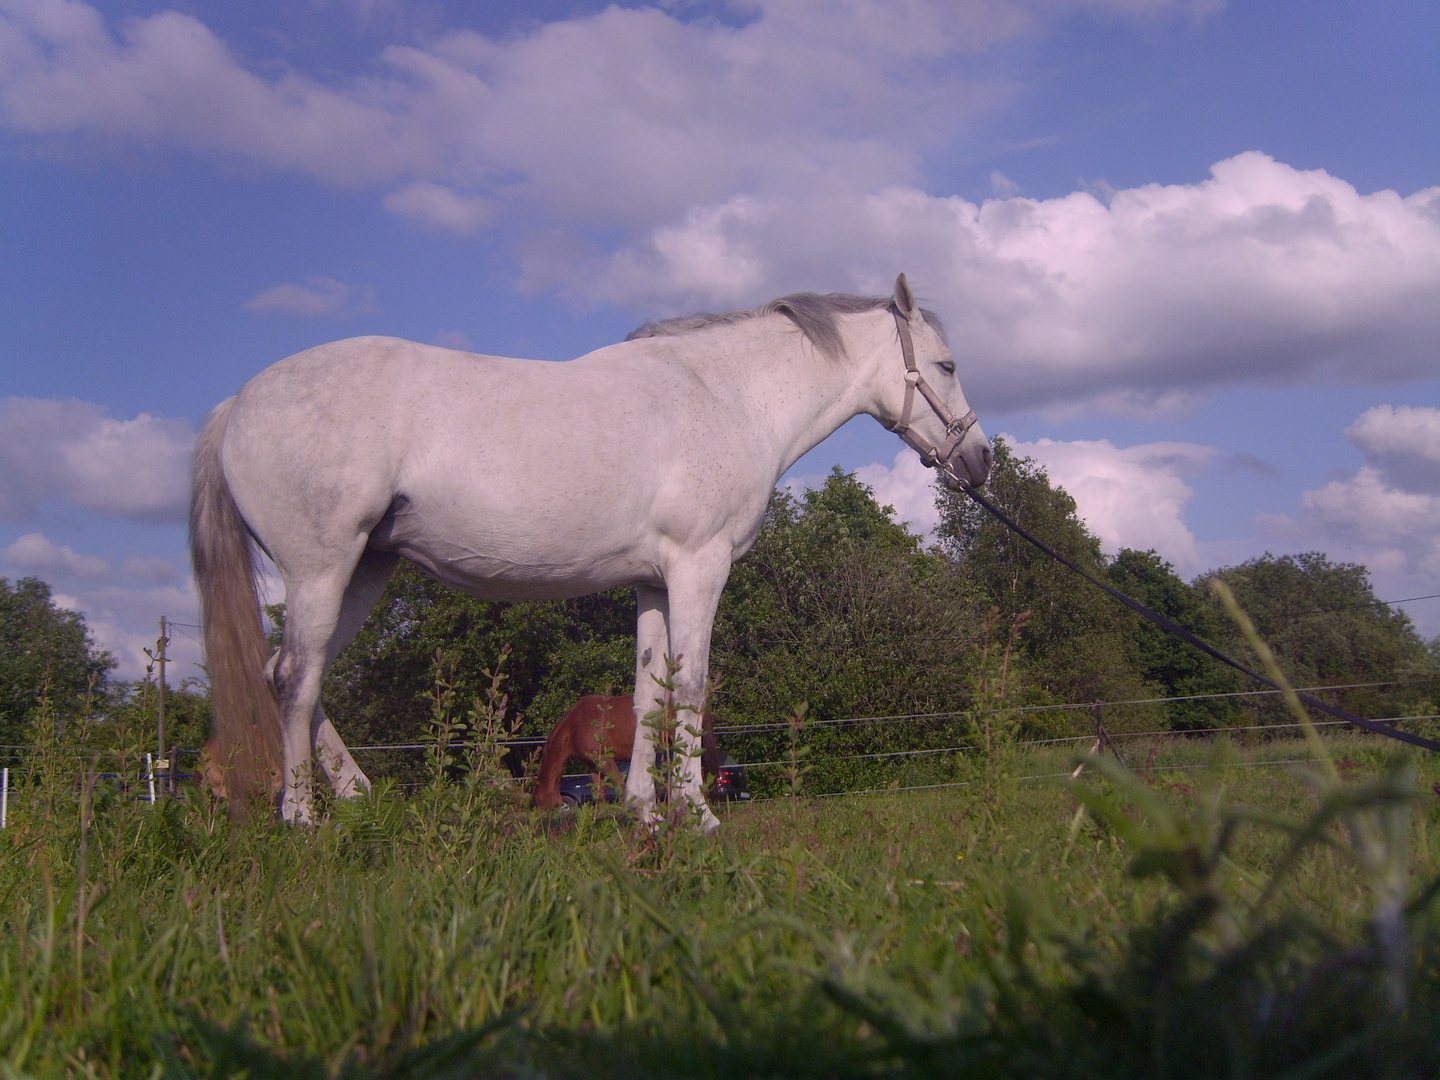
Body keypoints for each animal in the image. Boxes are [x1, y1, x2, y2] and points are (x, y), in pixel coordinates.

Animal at [535, 696, 720, 806]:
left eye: (538, 801)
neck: (575, 725)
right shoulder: (593, 765)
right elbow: (599, 793)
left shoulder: (606, 759)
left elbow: (620, 787)